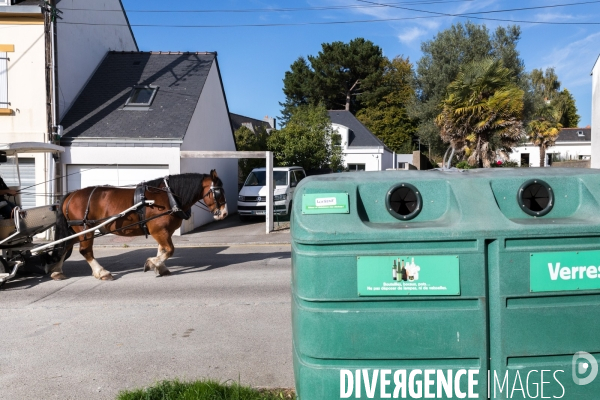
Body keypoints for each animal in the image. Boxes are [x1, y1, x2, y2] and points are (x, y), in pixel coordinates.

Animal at [48, 170, 227, 280]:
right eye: (218, 192)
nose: (224, 213)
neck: (169, 197)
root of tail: (72, 194)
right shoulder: (159, 231)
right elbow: (169, 250)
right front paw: (152, 263)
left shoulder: (164, 232)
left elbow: (163, 250)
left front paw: (159, 267)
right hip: (85, 229)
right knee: (85, 251)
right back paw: (102, 272)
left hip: (75, 230)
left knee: (64, 246)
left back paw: (57, 271)